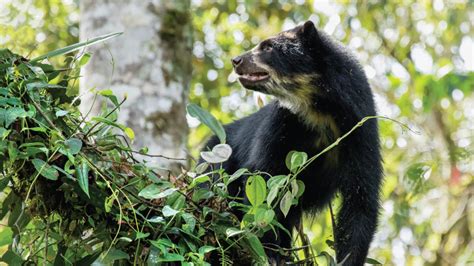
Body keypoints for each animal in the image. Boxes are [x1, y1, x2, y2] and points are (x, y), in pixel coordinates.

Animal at [202, 20, 384, 266]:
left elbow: (360, 199)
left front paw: (347, 259)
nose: (236, 60)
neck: (320, 111)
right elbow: (264, 179)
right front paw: (270, 252)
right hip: (216, 161)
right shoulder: (282, 124)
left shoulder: (360, 132)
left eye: (267, 47)